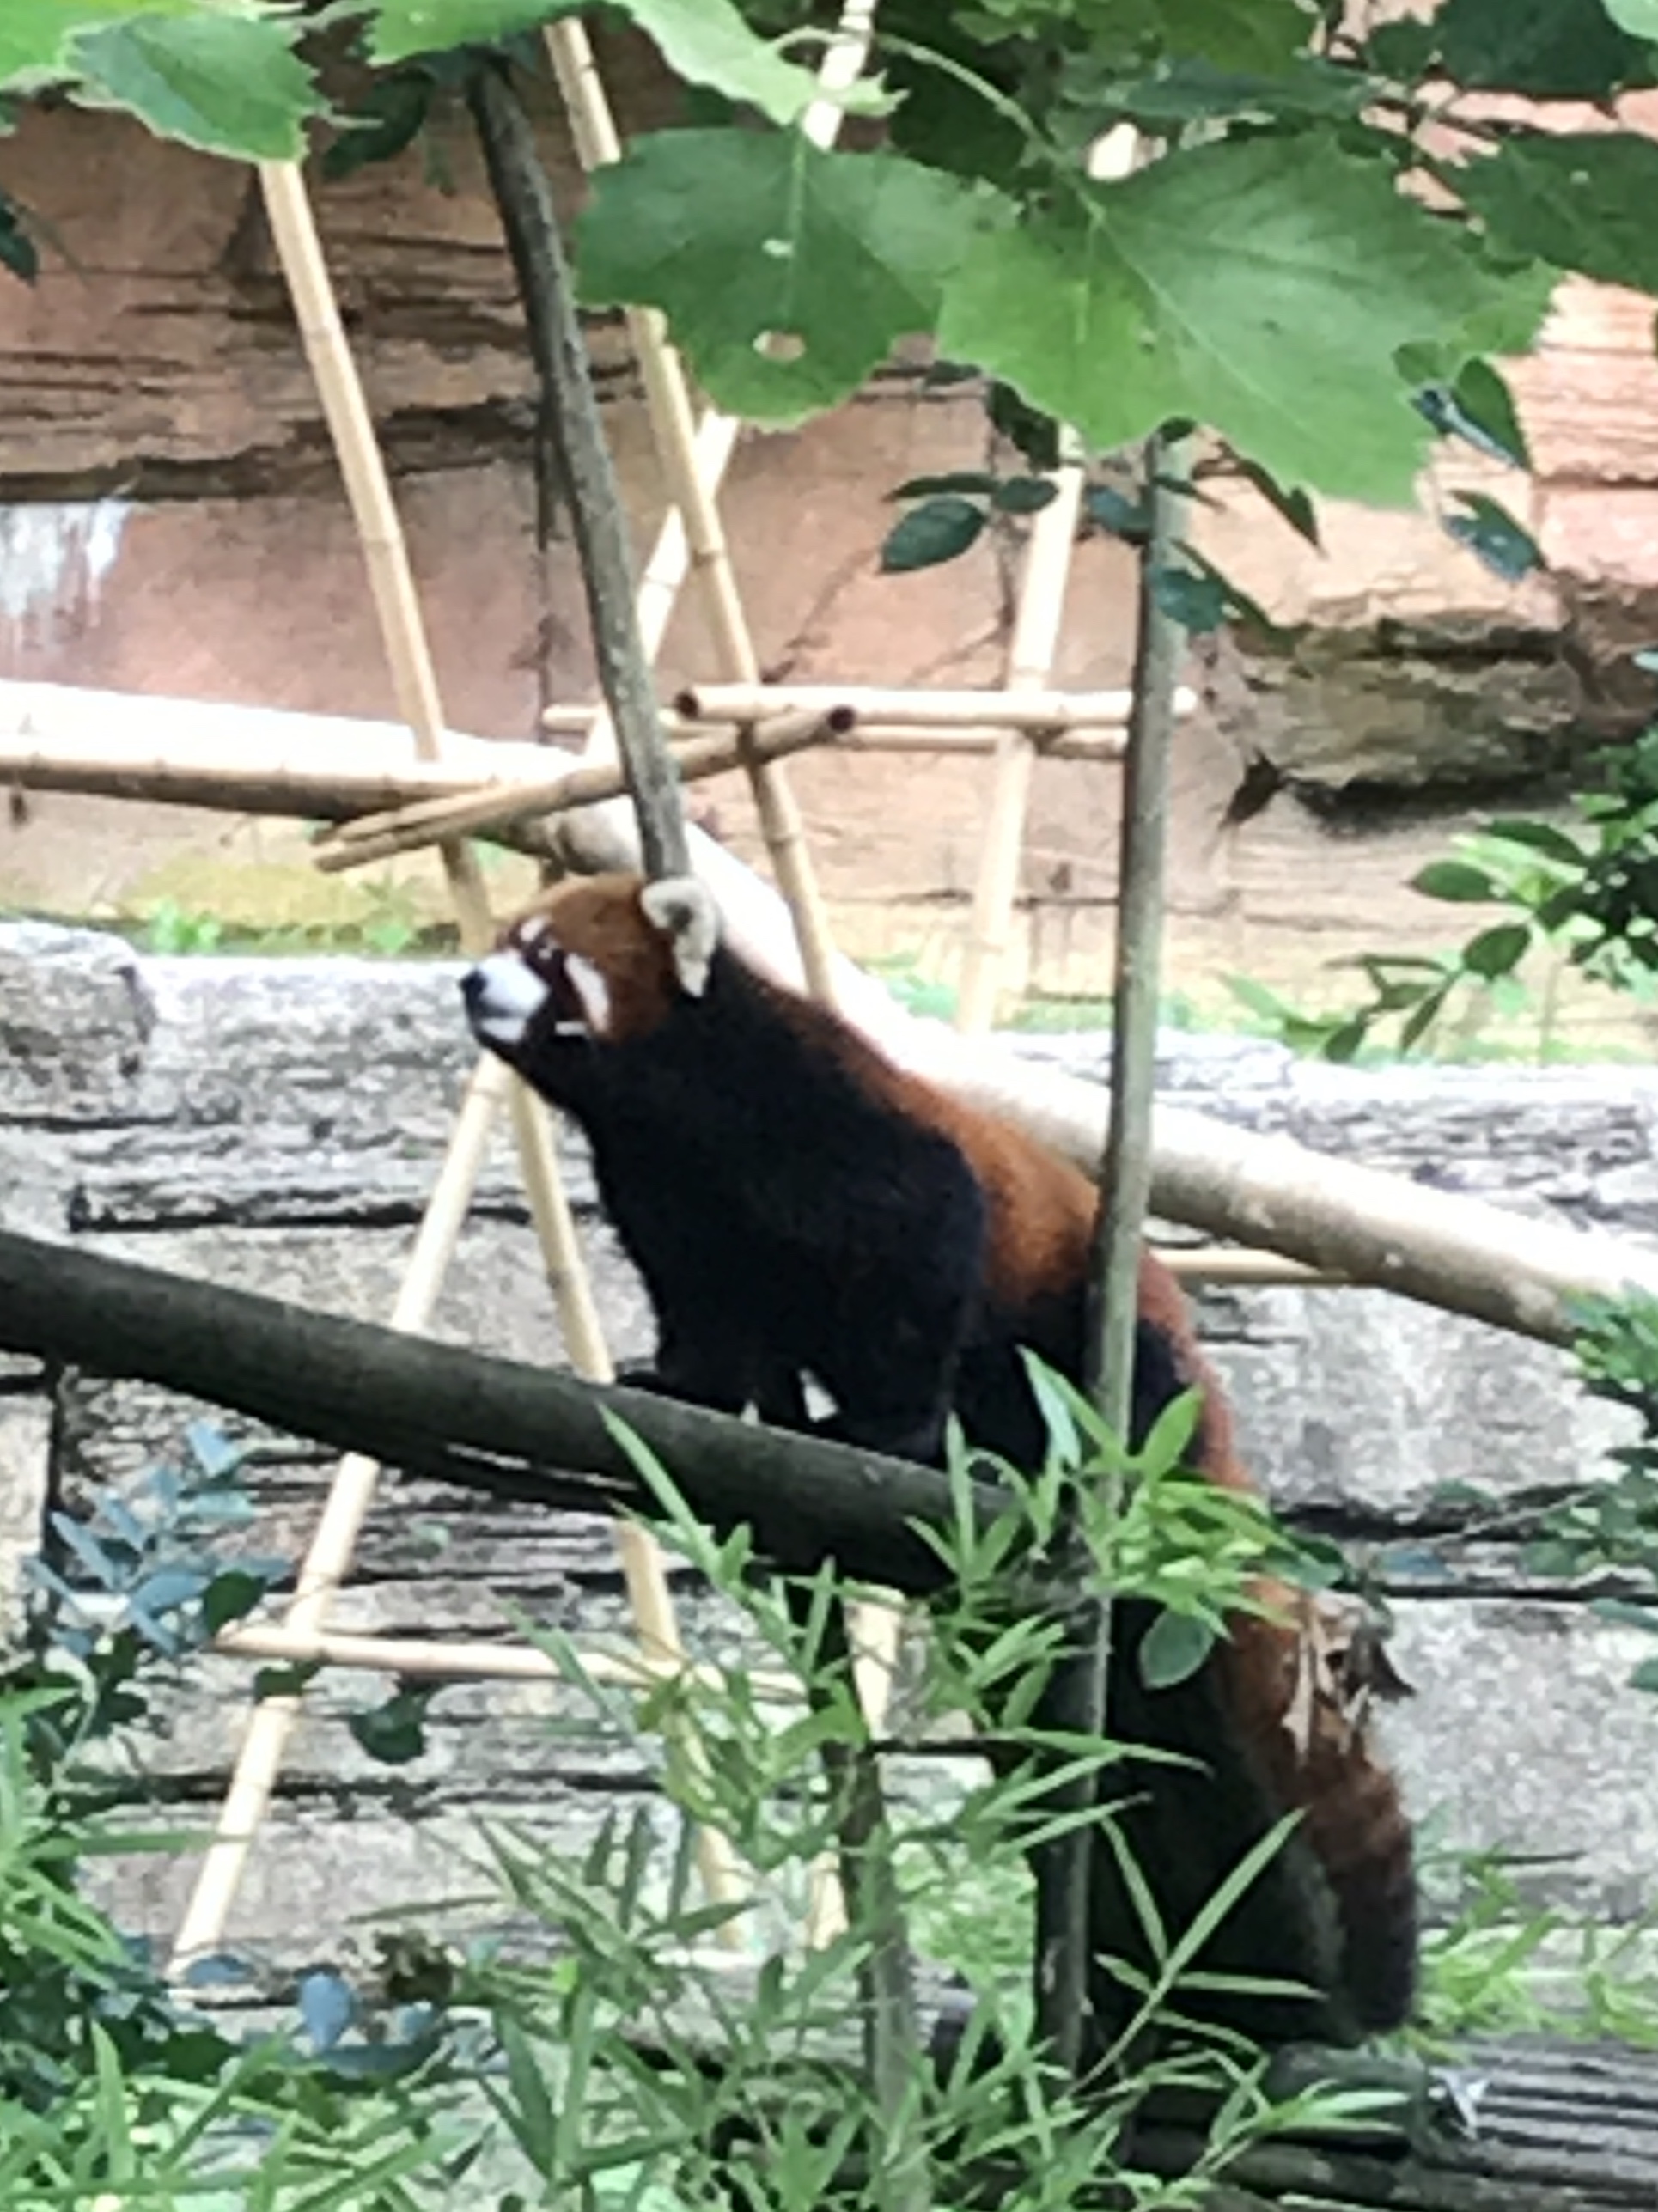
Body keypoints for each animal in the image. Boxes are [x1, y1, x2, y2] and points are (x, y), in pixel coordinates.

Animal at [461, 871, 1423, 2044]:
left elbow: (921, 1246)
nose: (469, 979)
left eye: (544, 954)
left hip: (1104, 1350)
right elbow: (709, 1313)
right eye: (506, 938)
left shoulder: (828, 1129)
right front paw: (677, 1385)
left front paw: (885, 1427)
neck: (669, 1105)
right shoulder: (669, 1199)